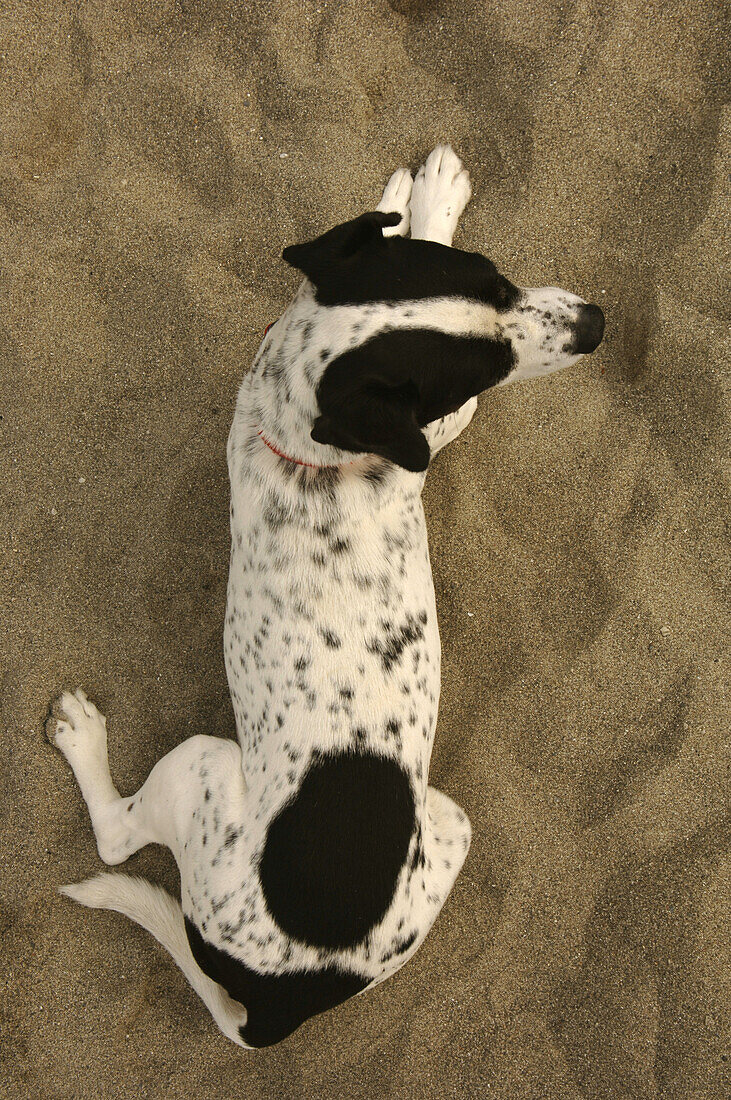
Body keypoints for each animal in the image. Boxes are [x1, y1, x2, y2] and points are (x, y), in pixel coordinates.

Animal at [46, 146, 602, 1047]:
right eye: (479, 371)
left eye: (498, 278)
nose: (596, 326)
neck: (299, 436)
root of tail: (276, 999)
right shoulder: (433, 431)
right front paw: (431, 198)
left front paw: (408, 203)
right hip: (200, 766)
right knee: (116, 839)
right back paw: (83, 739)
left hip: (447, 825)